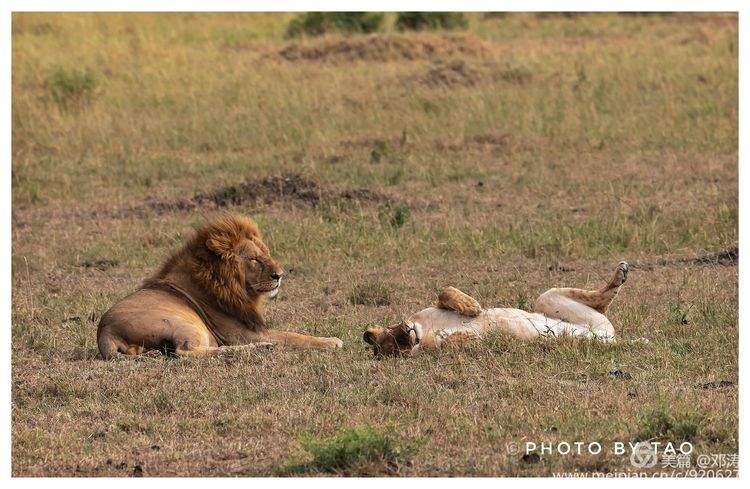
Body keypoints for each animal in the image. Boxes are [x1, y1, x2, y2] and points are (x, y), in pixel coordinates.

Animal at [97, 212, 346, 356]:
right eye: (254, 259)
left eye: (266, 253)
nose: (280, 275)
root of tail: (105, 332)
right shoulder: (244, 333)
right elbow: (292, 336)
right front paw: (331, 341)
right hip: (185, 324)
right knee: (186, 352)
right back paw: (260, 349)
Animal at [364, 264, 628, 354]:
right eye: (395, 345)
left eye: (392, 333)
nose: (408, 332)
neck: (423, 329)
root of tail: (607, 336)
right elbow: (455, 342)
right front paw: (466, 335)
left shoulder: (430, 309)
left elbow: (445, 290)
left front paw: (472, 307)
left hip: (547, 297)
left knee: (602, 297)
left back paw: (621, 273)